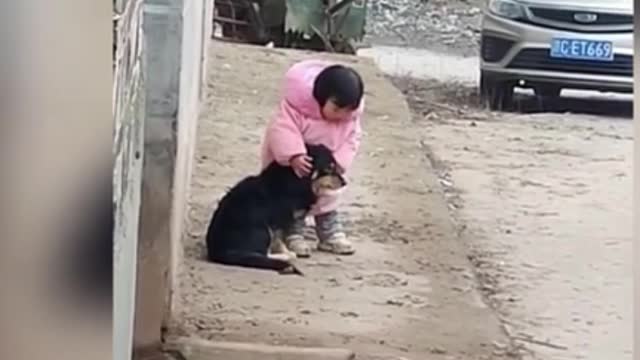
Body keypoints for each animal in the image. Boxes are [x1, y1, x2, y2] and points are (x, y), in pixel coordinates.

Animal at [205, 143, 344, 272]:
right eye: (329, 168)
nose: (345, 183)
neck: (296, 178)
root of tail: (218, 251)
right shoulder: (279, 220)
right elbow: (279, 240)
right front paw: (286, 252)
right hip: (262, 229)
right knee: (261, 254)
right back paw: (284, 258)